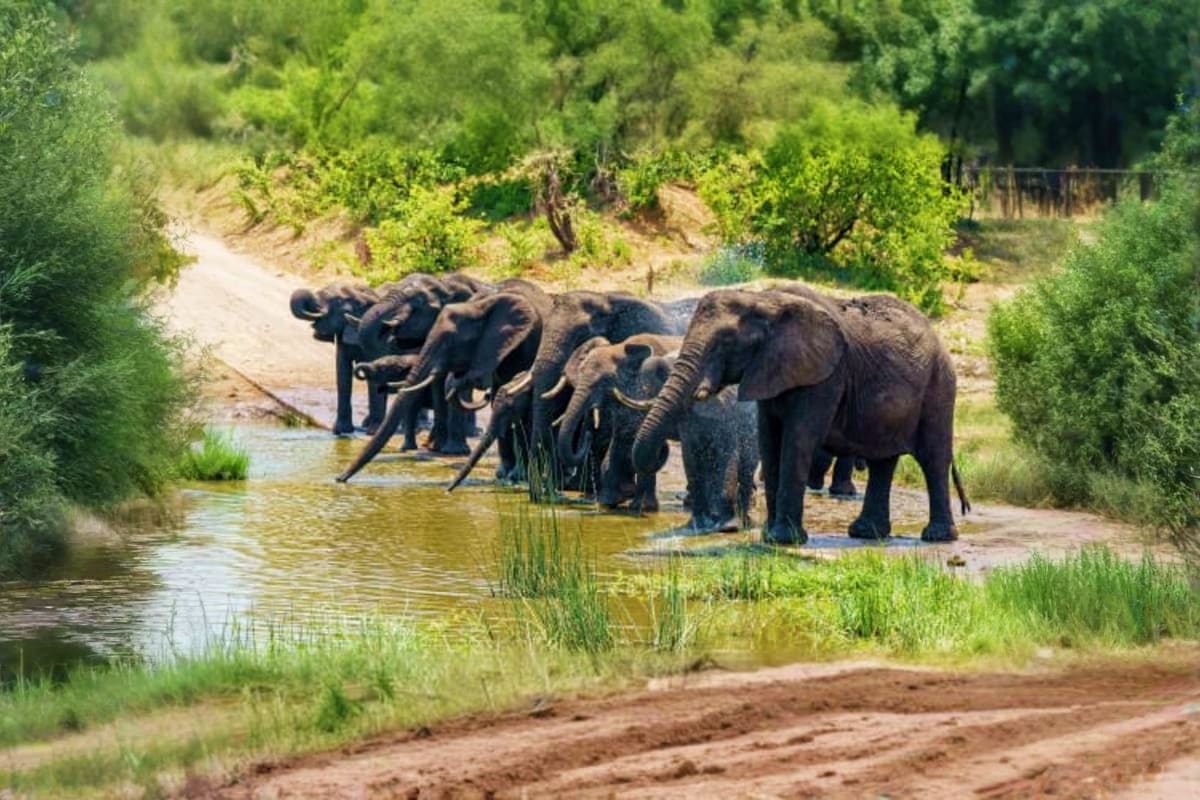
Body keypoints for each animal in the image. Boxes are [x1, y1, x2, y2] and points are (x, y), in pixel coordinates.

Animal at [631, 285, 969, 545]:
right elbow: (770, 440)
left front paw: (784, 540)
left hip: (940, 387)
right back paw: (866, 534)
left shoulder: (826, 376)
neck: (763, 300)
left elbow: (798, 439)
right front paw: (770, 537)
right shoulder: (770, 368)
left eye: (726, 341)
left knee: (933, 458)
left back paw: (937, 537)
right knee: (882, 461)